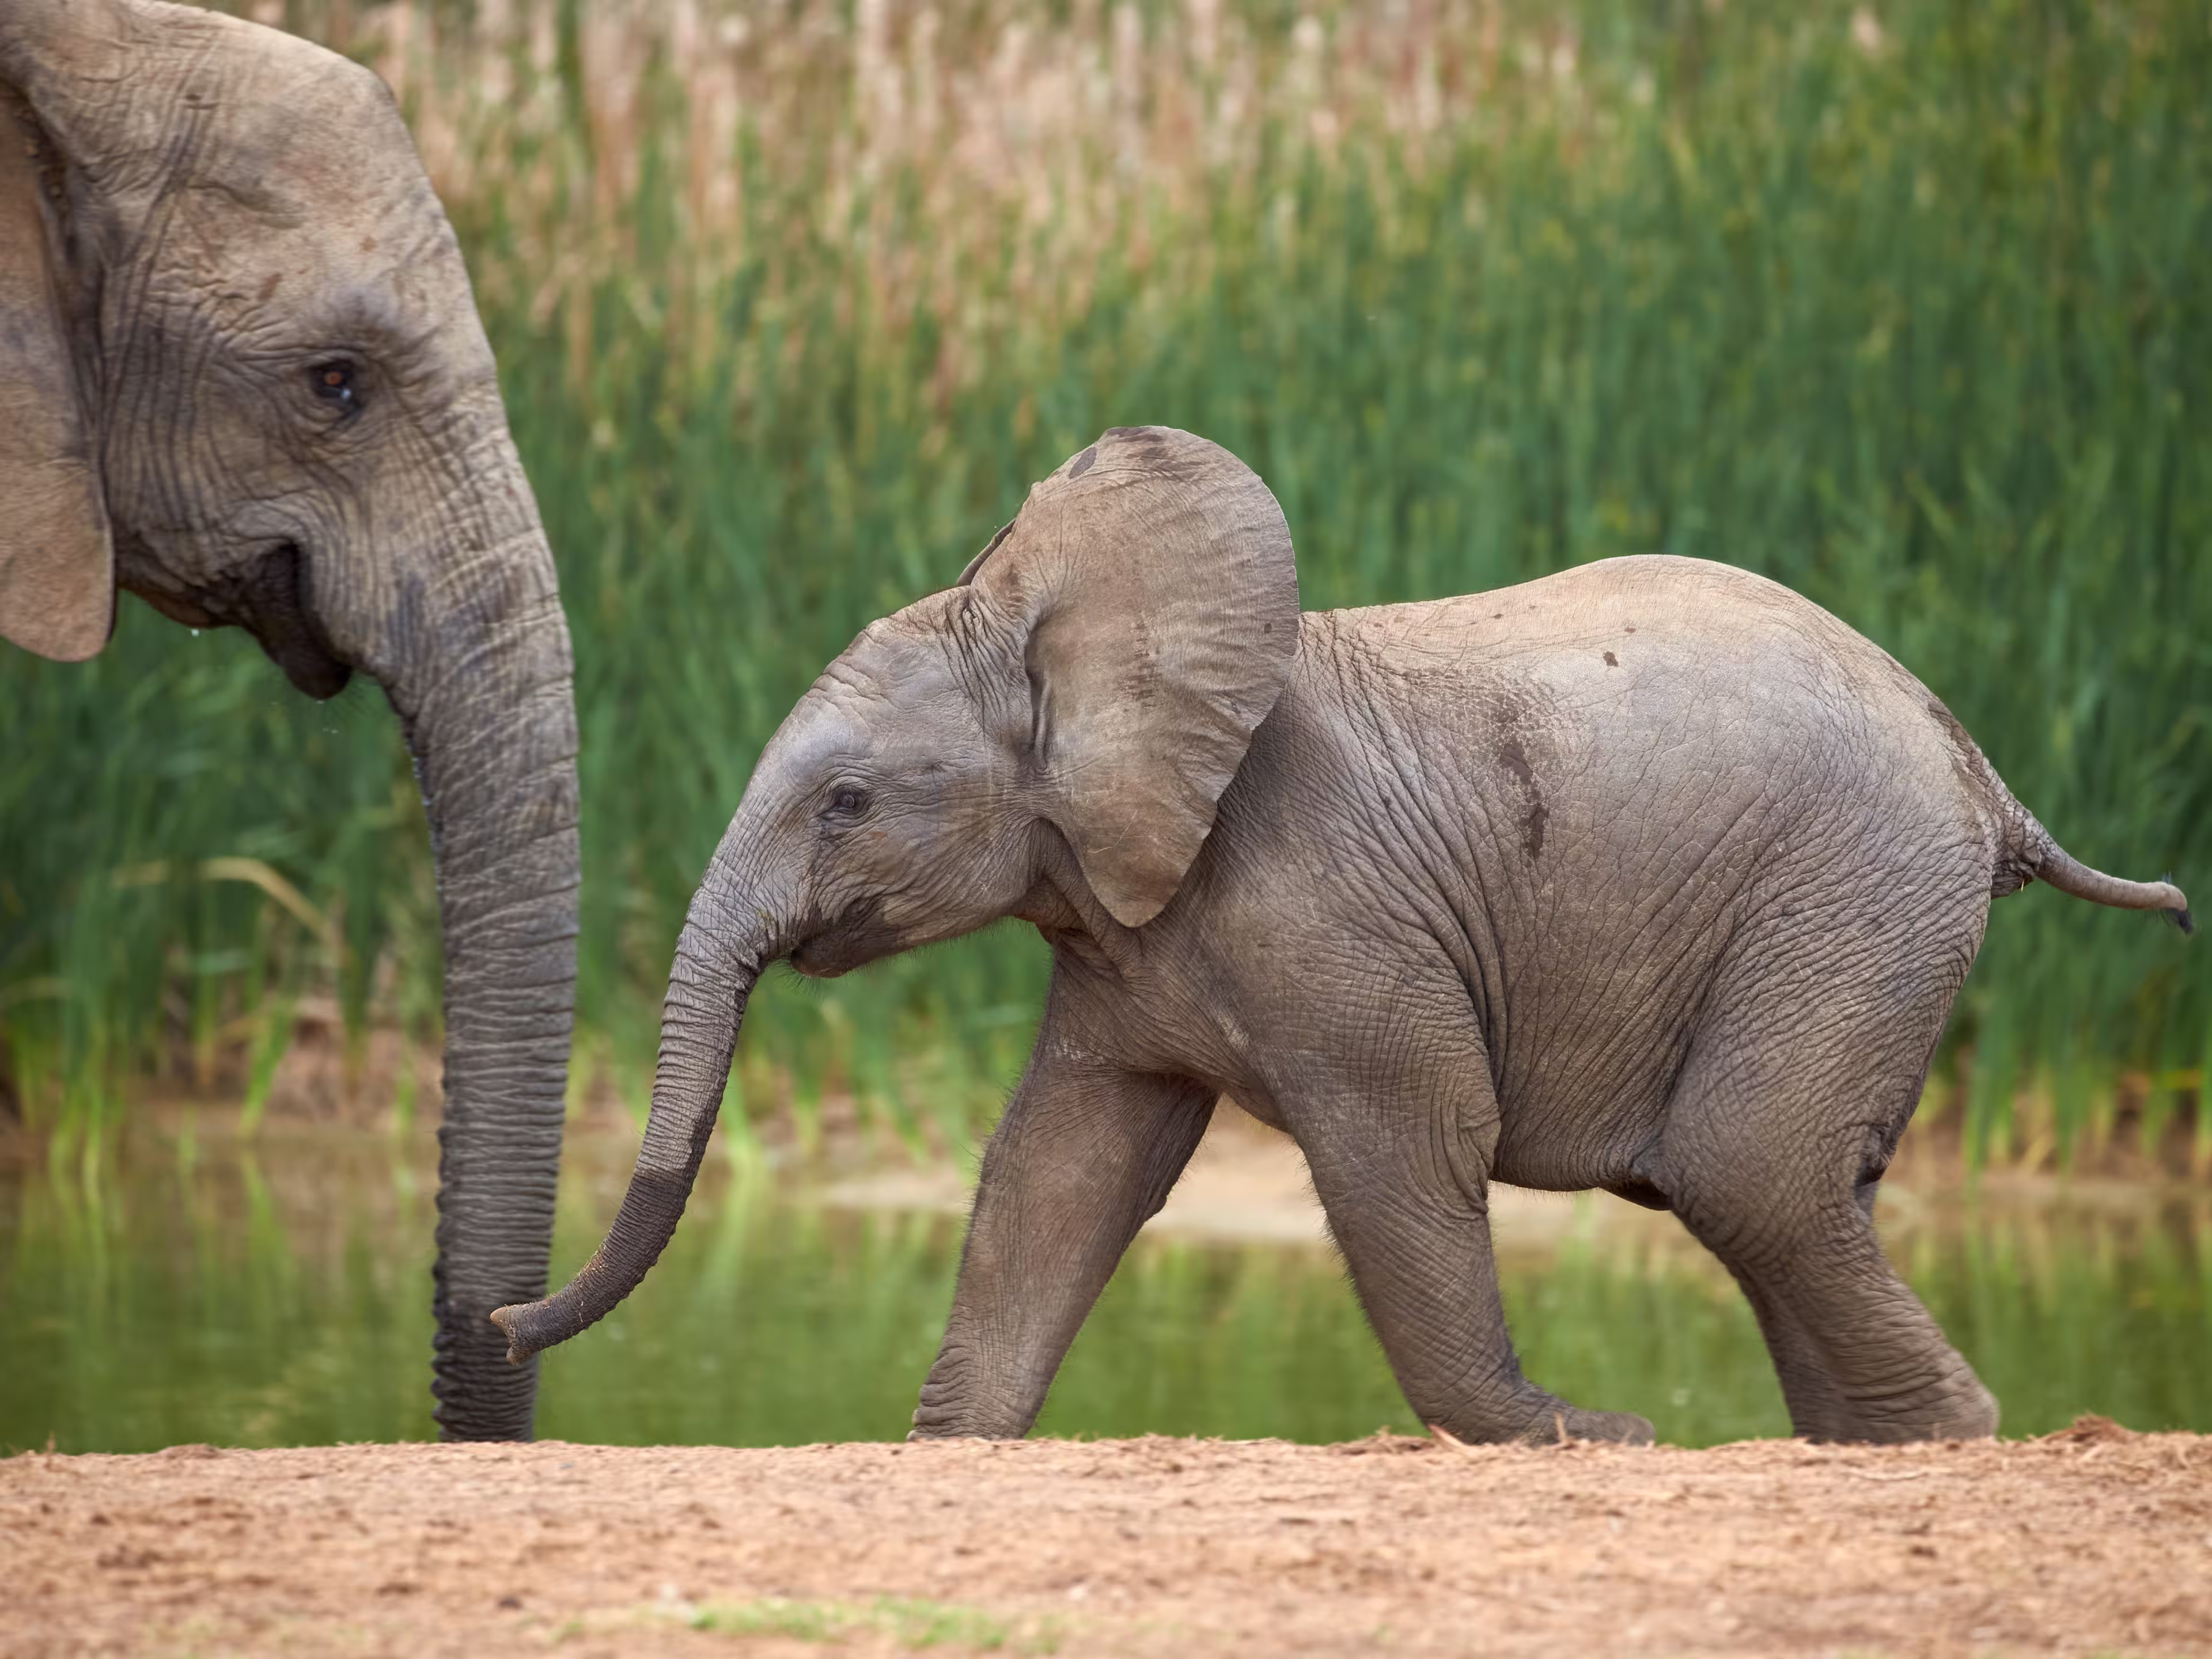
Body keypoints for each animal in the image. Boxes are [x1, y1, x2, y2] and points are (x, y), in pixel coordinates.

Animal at [495, 426, 2190, 1446]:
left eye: (846, 802)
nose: (506, 1325)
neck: (1081, 637)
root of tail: (1980, 767)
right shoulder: (1122, 928)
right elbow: (1060, 1166)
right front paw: (950, 1446)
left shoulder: (1327, 913)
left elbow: (1409, 1143)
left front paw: (1578, 1437)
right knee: (1795, 1186)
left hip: (1845, 891)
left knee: (1746, 1167)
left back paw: (1953, 1440)